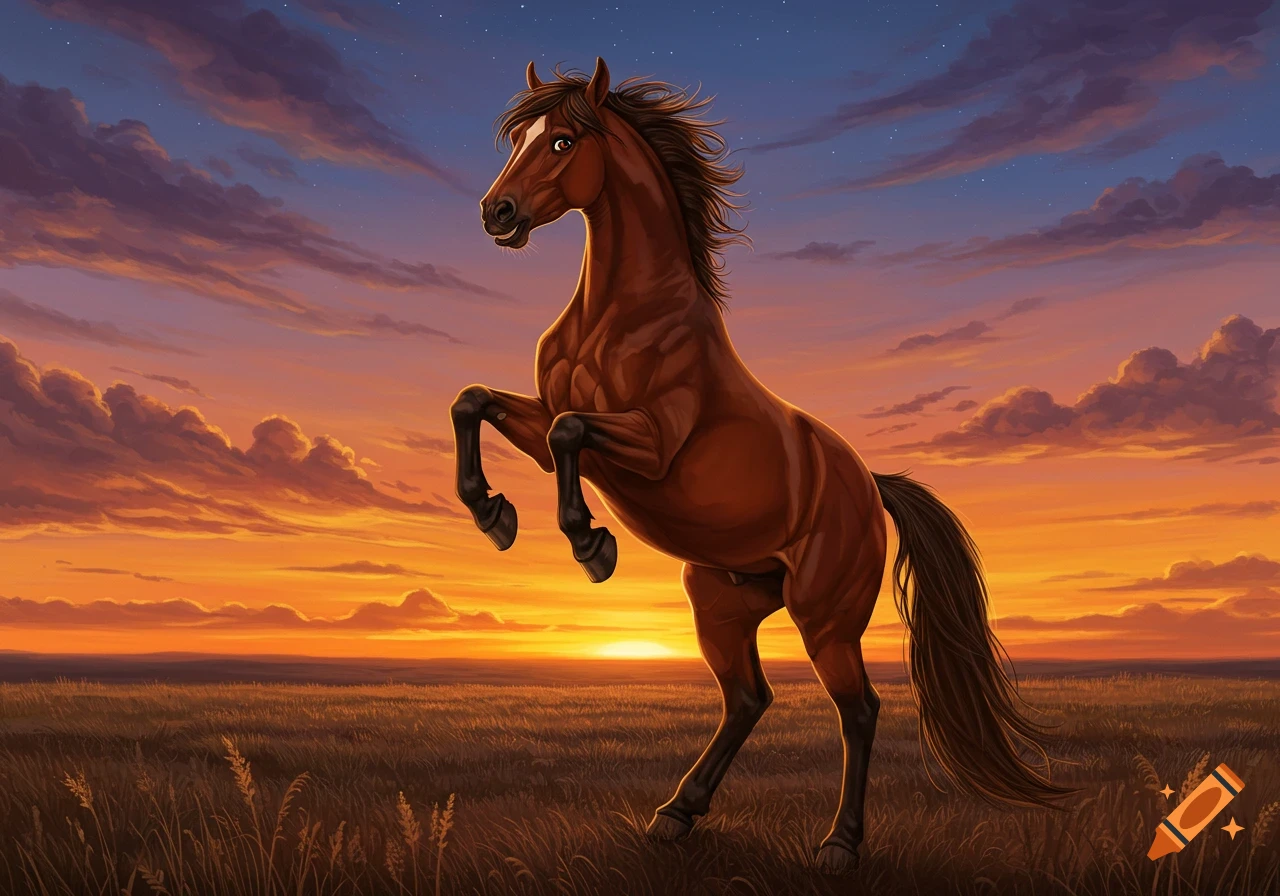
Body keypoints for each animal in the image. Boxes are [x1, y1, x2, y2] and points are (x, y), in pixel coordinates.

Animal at [451, 57, 1069, 873]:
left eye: (561, 140)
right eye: (518, 138)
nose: (497, 213)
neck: (619, 318)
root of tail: (868, 485)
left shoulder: (653, 444)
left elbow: (567, 431)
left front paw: (590, 543)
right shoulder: (538, 413)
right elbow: (476, 403)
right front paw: (493, 513)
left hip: (825, 617)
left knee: (858, 710)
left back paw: (839, 844)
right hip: (721, 601)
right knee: (748, 698)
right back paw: (675, 815)